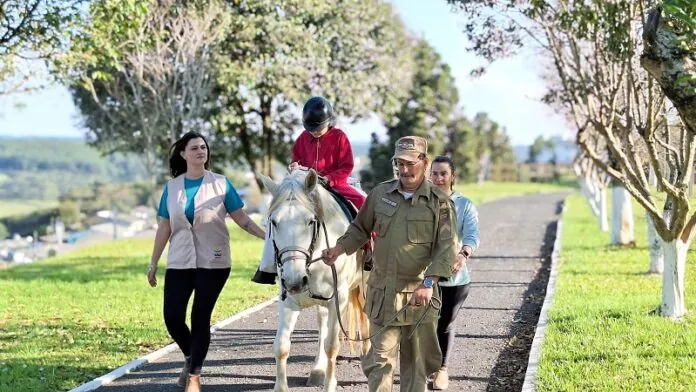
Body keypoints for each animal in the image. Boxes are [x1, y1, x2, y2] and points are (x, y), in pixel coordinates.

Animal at [260, 170, 370, 392]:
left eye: (310, 221)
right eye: (273, 222)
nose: (294, 281)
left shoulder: (338, 300)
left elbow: (332, 345)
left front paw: (330, 384)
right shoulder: (288, 300)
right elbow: (281, 346)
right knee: (322, 324)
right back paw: (318, 369)